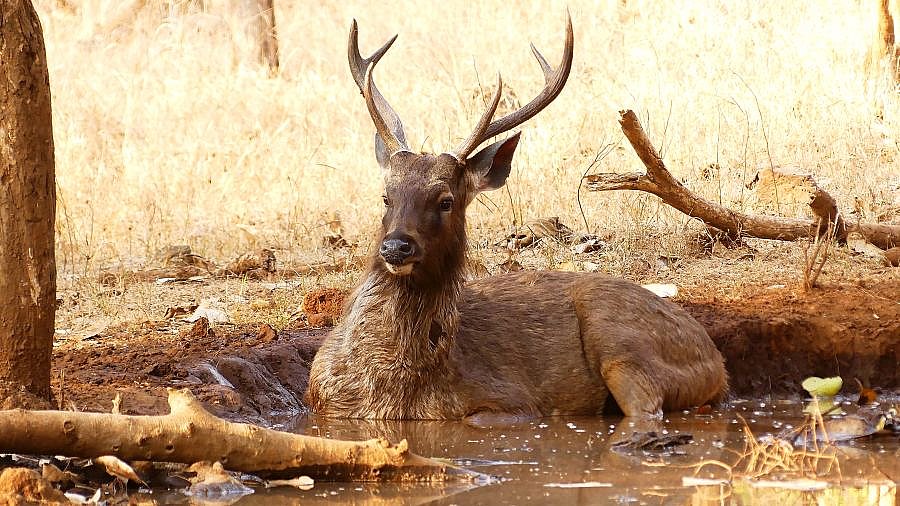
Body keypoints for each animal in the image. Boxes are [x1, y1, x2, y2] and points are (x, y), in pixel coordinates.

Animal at [305, 14, 728, 422]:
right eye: (386, 196)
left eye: (445, 201)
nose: (396, 246)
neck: (388, 390)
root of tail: (717, 361)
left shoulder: (511, 401)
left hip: (623, 342)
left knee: (646, 408)